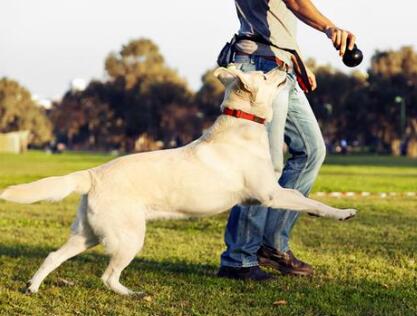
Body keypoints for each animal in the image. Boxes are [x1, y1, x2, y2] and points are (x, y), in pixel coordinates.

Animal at [0, 65, 354, 296]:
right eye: (265, 75)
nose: (283, 65)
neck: (242, 125)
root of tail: (93, 174)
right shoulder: (270, 194)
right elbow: (307, 199)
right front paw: (342, 213)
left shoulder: (266, 195)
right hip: (128, 238)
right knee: (107, 276)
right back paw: (132, 294)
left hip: (87, 235)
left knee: (53, 256)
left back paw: (33, 287)